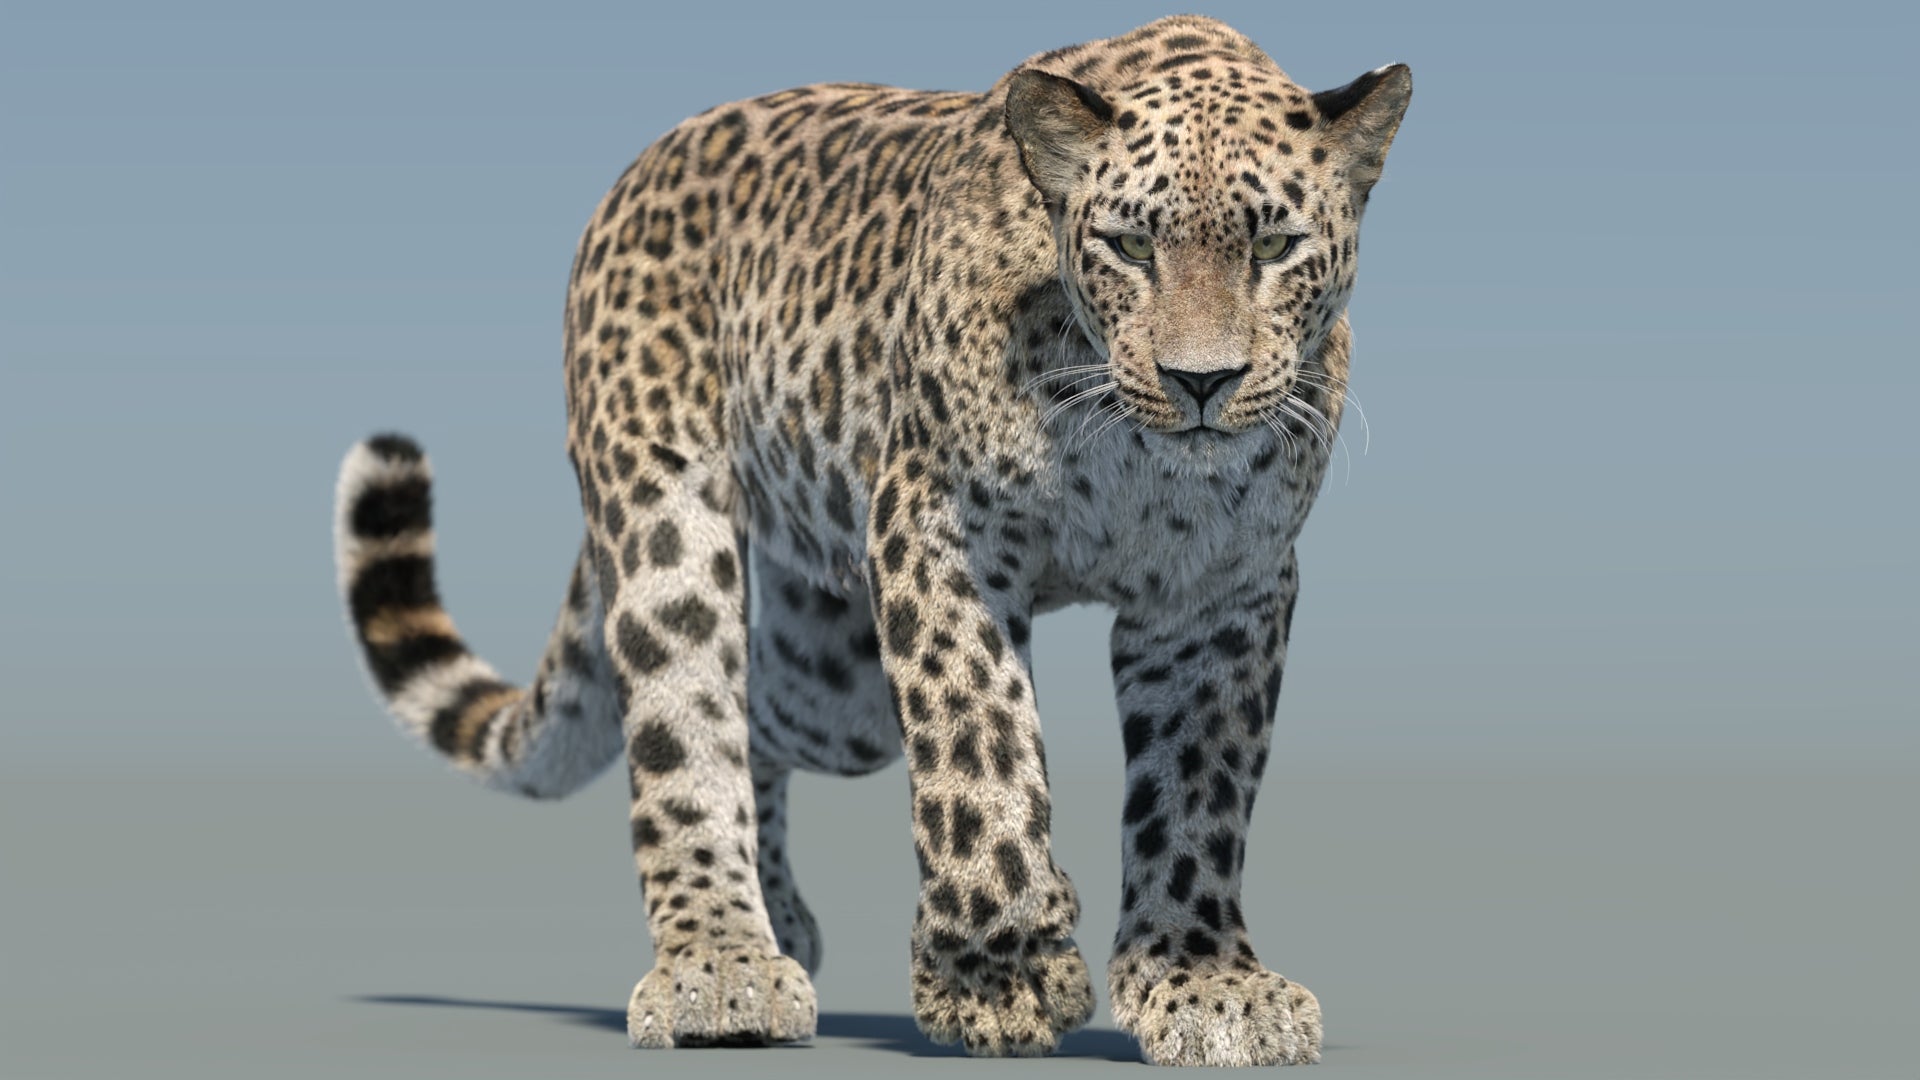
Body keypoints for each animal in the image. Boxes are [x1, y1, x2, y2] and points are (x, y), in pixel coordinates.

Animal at [332, 14, 1409, 1066]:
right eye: (1130, 247)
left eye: (1275, 246)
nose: (1201, 382)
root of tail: (642, 165)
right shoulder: (941, 531)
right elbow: (980, 747)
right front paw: (1002, 980)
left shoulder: (1219, 591)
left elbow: (1197, 792)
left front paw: (1201, 979)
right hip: (668, 521)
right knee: (691, 727)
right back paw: (722, 963)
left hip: (834, 677)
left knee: (760, 716)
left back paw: (779, 919)